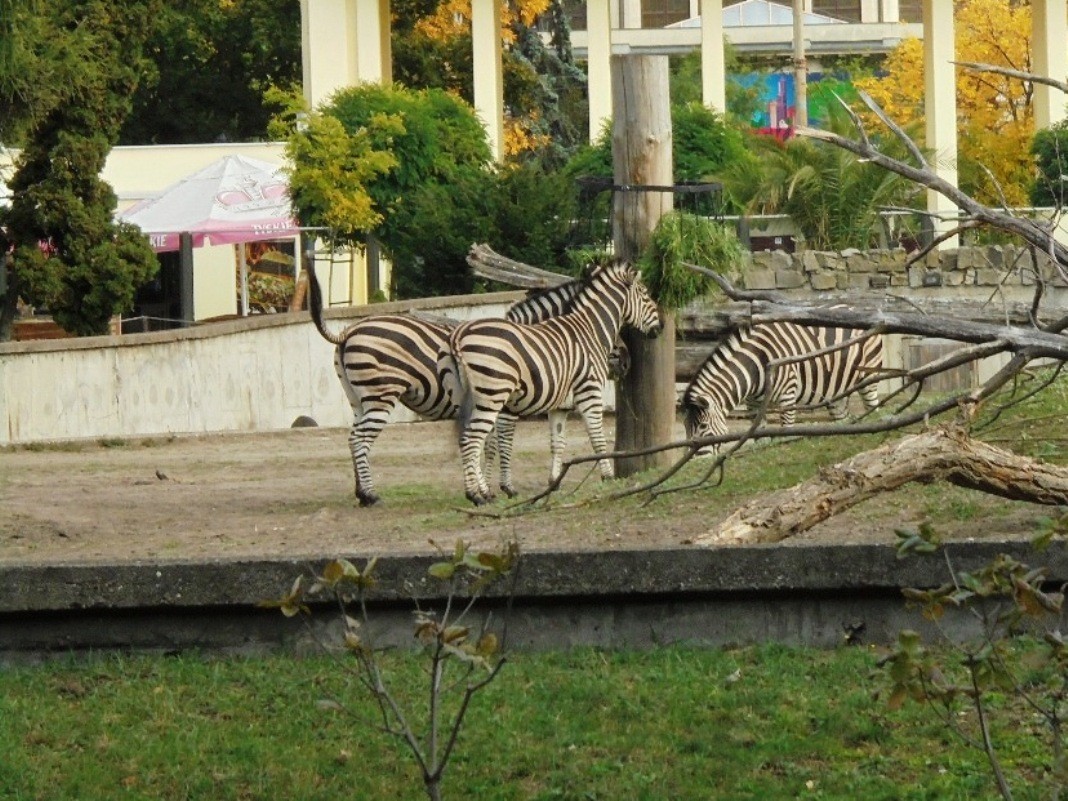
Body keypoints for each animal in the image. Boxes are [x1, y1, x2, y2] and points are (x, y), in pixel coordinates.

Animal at [305, 263, 615, 504]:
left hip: (357, 397)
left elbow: (485, 444)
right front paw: (500, 488)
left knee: (353, 438)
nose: (620, 361)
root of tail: (348, 331)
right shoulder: (503, 407)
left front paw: (485, 487)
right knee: (360, 439)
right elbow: (498, 444)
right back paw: (370, 495)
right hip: (380, 394)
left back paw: (361, 492)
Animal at [440, 260, 657, 504]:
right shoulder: (589, 390)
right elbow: (597, 436)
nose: (626, 361)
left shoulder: (559, 406)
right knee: (472, 440)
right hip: (491, 397)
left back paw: (480, 492)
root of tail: (459, 334)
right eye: (645, 294)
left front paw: (554, 483)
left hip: (468, 399)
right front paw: (608, 477)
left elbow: (557, 442)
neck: (589, 329)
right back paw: (476, 495)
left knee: (466, 439)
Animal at [683, 322, 884, 457]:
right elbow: (759, 436)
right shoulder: (753, 403)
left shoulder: (787, 394)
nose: (694, 460)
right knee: (844, 419)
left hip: (869, 376)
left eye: (703, 426)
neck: (756, 364)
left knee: (874, 408)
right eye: (685, 427)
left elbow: (786, 430)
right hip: (836, 392)